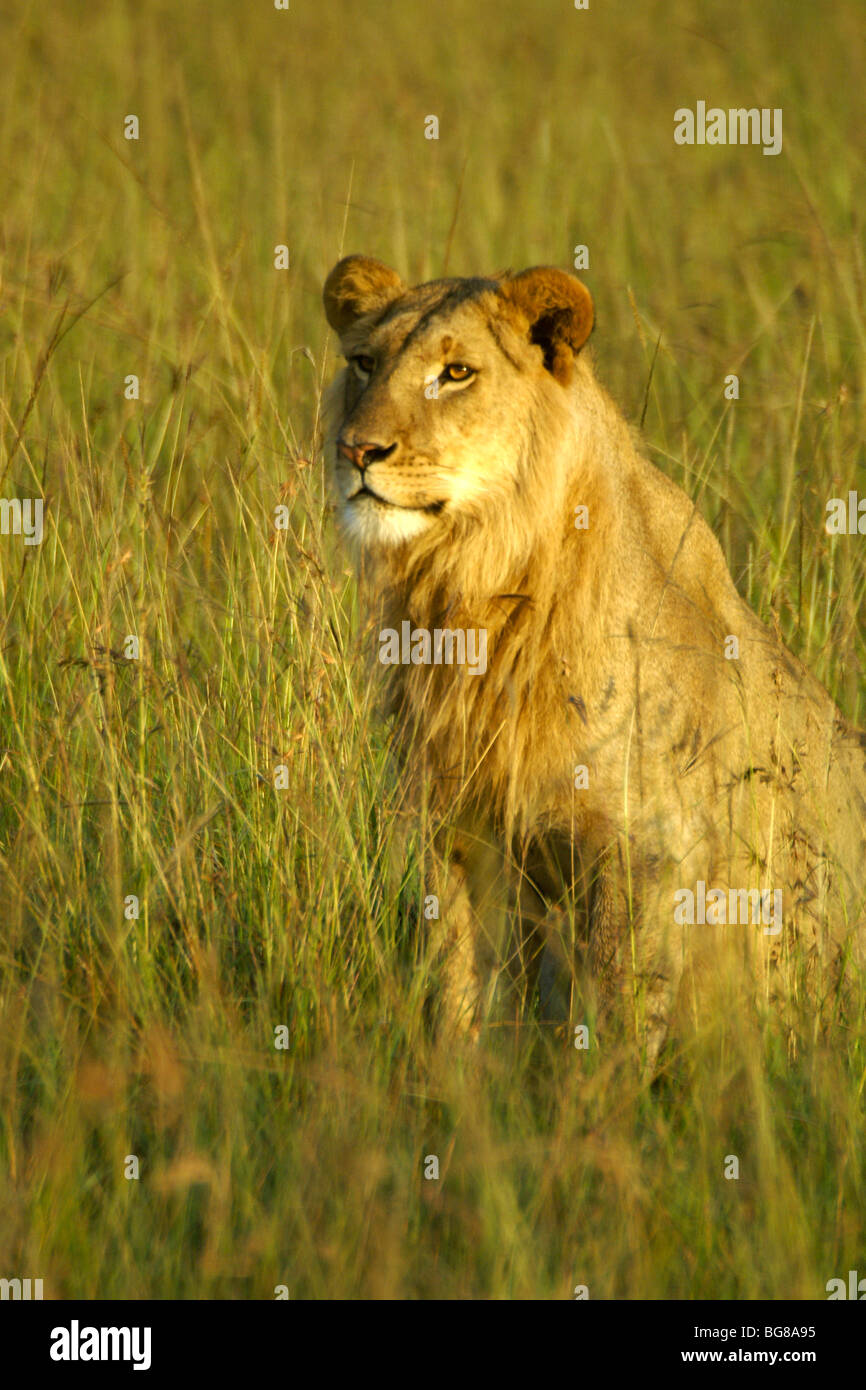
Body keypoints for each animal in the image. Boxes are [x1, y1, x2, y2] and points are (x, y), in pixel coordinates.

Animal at [321, 254, 866, 1071]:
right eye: (363, 364)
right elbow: (458, 988)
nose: (358, 450)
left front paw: (598, 1107)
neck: (475, 592)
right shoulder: (459, 834)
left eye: (456, 372)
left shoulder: (647, 852)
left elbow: (616, 1020)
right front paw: (455, 1089)